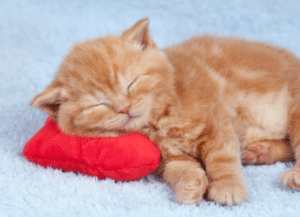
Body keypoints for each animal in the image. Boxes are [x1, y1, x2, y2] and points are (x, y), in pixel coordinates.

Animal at [31, 18, 300, 205]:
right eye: (99, 104)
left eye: (132, 83)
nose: (125, 108)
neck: (161, 118)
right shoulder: (167, 156)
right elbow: (180, 168)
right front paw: (191, 184)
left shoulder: (217, 123)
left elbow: (221, 159)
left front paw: (228, 188)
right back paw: (260, 152)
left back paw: (292, 174)